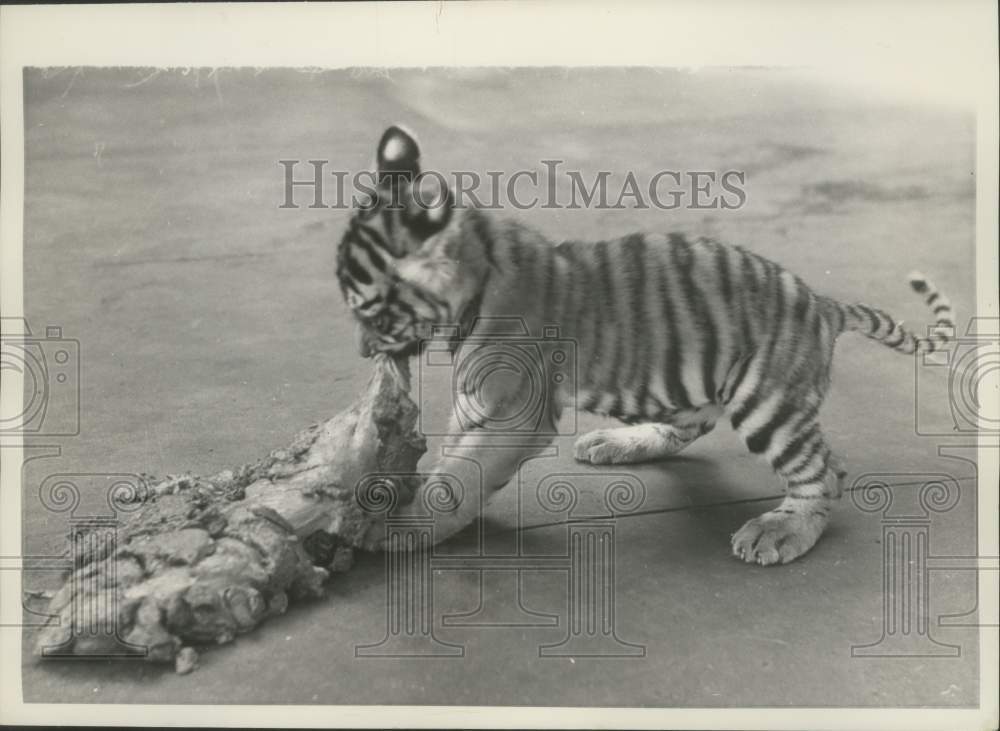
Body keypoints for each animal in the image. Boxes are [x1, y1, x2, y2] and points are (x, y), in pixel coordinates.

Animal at [335, 125, 955, 565]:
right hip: (685, 379)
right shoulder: (479, 404)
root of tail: (823, 303)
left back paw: (780, 530)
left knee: (821, 471)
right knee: (704, 430)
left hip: (767, 402)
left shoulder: (516, 412)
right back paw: (615, 442)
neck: (481, 268)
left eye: (373, 312)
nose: (363, 352)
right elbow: (455, 462)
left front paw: (401, 527)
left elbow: (461, 481)